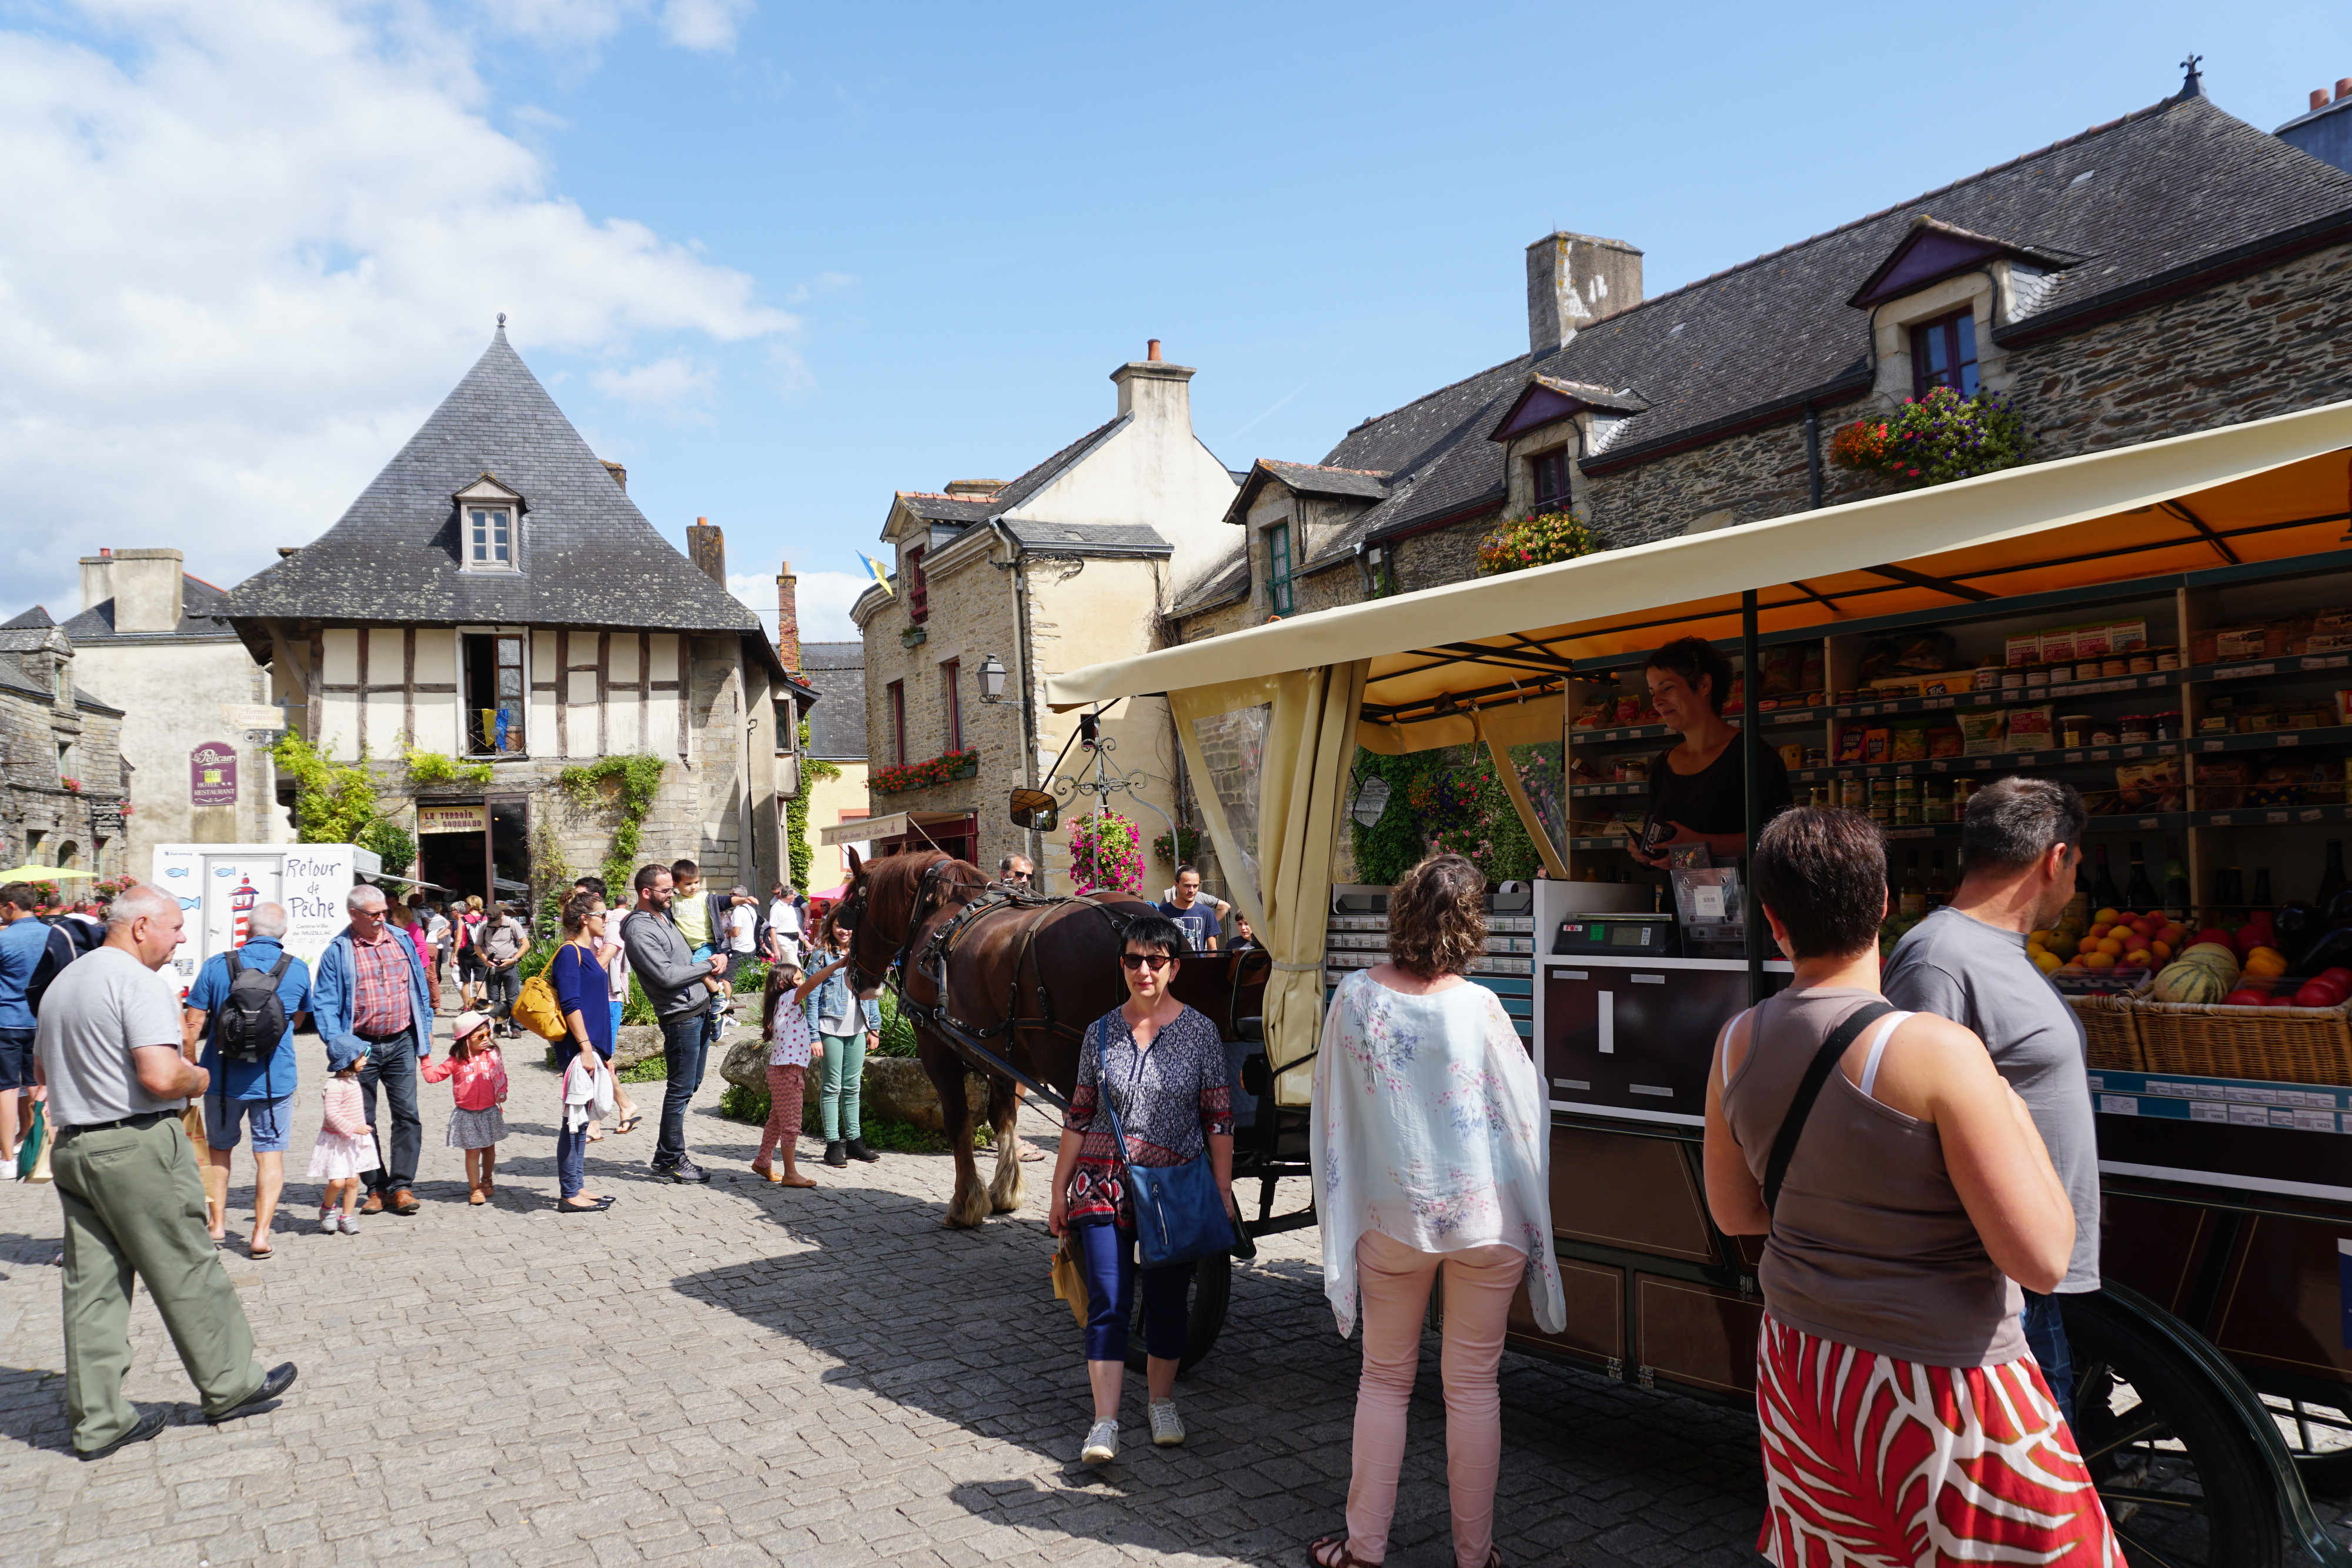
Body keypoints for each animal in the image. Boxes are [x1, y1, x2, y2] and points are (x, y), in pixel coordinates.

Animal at [842, 851, 1270, 1232]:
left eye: (849, 910)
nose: (852, 977)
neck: (938, 915)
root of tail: (1128, 924)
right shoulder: (1001, 1054)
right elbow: (1003, 1115)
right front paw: (1006, 1190)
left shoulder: (937, 1049)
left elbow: (959, 1122)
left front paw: (965, 1203)